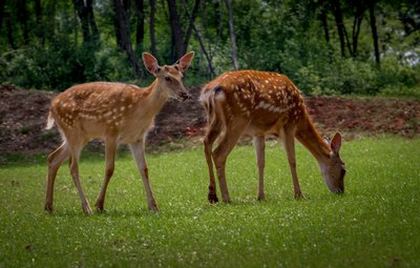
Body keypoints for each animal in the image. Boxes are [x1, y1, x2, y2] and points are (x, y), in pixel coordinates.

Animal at [44, 50, 195, 214]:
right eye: (167, 78)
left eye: (181, 76)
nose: (185, 94)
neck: (139, 110)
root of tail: (52, 106)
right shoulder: (111, 131)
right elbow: (109, 169)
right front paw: (100, 205)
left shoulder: (137, 138)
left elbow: (144, 168)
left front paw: (153, 206)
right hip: (72, 130)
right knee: (72, 167)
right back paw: (87, 208)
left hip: (80, 135)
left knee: (53, 158)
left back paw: (48, 206)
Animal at [202, 69, 346, 203]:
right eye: (344, 170)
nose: (340, 191)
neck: (301, 118)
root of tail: (210, 91)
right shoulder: (289, 124)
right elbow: (292, 160)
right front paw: (299, 194)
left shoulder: (259, 132)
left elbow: (260, 162)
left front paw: (260, 196)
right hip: (238, 119)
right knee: (218, 153)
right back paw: (226, 198)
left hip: (214, 120)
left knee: (206, 143)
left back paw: (212, 195)